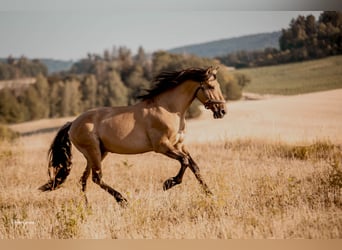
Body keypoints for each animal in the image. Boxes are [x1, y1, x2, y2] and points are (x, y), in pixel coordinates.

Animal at [38, 65, 227, 206]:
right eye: (211, 87)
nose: (222, 111)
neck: (168, 109)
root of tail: (72, 124)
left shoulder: (179, 144)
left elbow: (194, 166)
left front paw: (210, 194)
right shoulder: (162, 146)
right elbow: (185, 162)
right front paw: (168, 183)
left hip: (97, 153)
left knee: (83, 180)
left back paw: (86, 207)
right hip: (93, 152)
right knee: (96, 178)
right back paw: (122, 200)